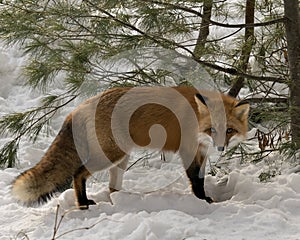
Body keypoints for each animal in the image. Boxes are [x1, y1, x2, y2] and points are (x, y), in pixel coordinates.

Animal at [11, 86, 248, 208]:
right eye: (212, 129)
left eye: (229, 130)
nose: (220, 148)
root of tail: (78, 108)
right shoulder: (188, 150)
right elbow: (196, 181)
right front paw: (203, 201)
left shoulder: (201, 152)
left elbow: (200, 177)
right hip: (111, 154)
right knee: (78, 174)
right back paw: (83, 203)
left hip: (121, 158)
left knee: (111, 187)